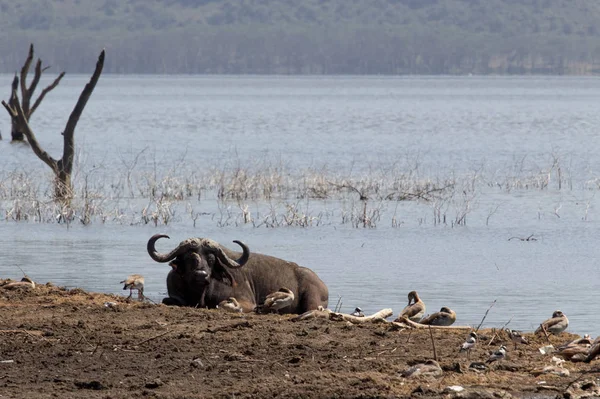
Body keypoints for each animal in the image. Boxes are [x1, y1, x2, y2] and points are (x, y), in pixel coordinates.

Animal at [148, 234, 330, 316]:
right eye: (190, 257)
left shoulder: (246, 301)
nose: (201, 274)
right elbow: (167, 300)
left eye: (211, 259)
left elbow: (224, 304)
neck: (199, 294)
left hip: (312, 300)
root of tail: (323, 285)